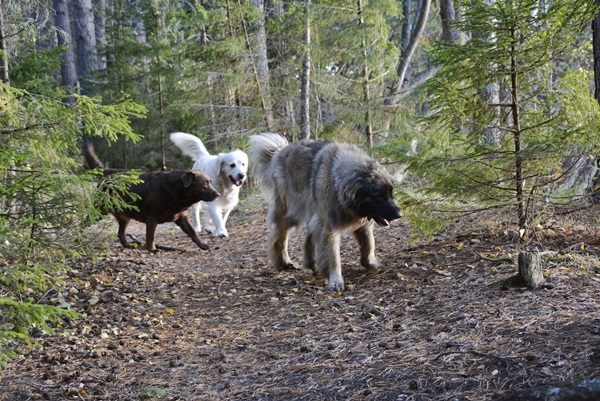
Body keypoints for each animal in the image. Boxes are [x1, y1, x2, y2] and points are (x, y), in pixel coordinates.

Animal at [81, 141, 219, 252]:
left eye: (210, 182)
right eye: (204, 185)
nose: (218, 194)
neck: (174, 190)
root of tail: (107, 172)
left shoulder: (182, 218)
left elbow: (193, 233)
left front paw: (203, 245)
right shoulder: (152, 218)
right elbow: (151, 236)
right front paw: (152, 249)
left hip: (125, 217)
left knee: (120, 233)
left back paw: (127, 245)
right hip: (100, 210)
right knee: (84, 223)